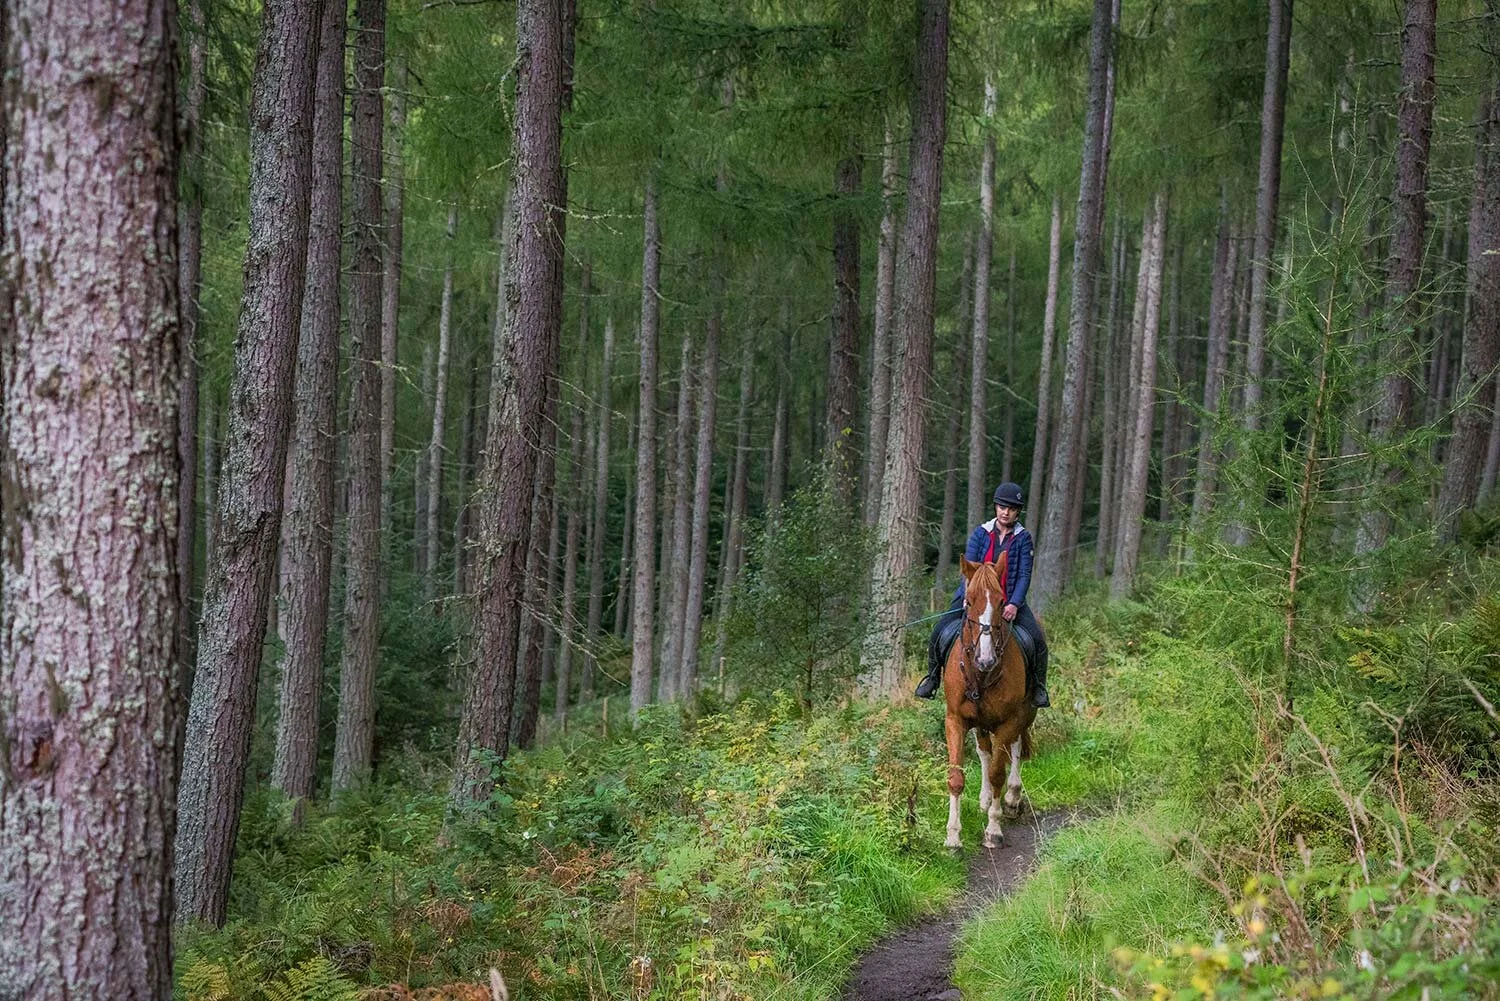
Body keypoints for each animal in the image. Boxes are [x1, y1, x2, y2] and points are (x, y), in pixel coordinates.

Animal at [942, 554, 1036, 849]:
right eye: (969, 601)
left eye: (1002, 601)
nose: (986, 659)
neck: (981, 674)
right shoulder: (955, 719)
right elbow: (956, 777)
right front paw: (953, 837)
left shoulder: (1009, 721)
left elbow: (997, 773)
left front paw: (994, 829)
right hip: (982, 722)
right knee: (985, 751)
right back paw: (985, 800)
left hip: (1025, 713)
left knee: (1015, 749)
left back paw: (1013, 798)